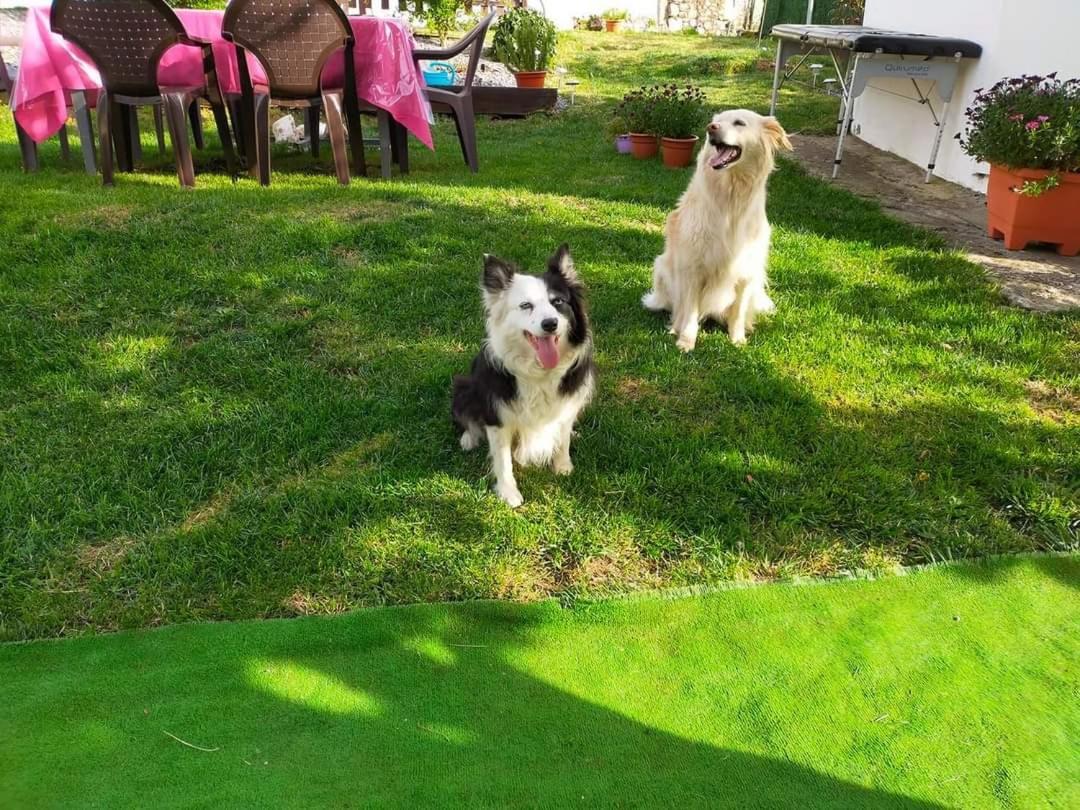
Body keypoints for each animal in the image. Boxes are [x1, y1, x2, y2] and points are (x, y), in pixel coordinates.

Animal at [451, 244, 596, 507]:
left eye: (558, 301)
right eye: (526, 305)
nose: (550, 323)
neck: (539, 371)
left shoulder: (568, 401)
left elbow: (562, 439)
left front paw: (563, 466)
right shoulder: (497, 413)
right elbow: (503, 460)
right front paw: (509, 493)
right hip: (463, 386)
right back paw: (468, 438)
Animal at [639, 109, 794, 349]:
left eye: (739, 123)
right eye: (717, 121)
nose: (710, 128)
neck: (730, 196)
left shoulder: (746, 271)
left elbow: (738, 312)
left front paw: (737, 340)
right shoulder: (693, 268)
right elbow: (689, 312)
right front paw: (686, 341)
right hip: (662, 267)